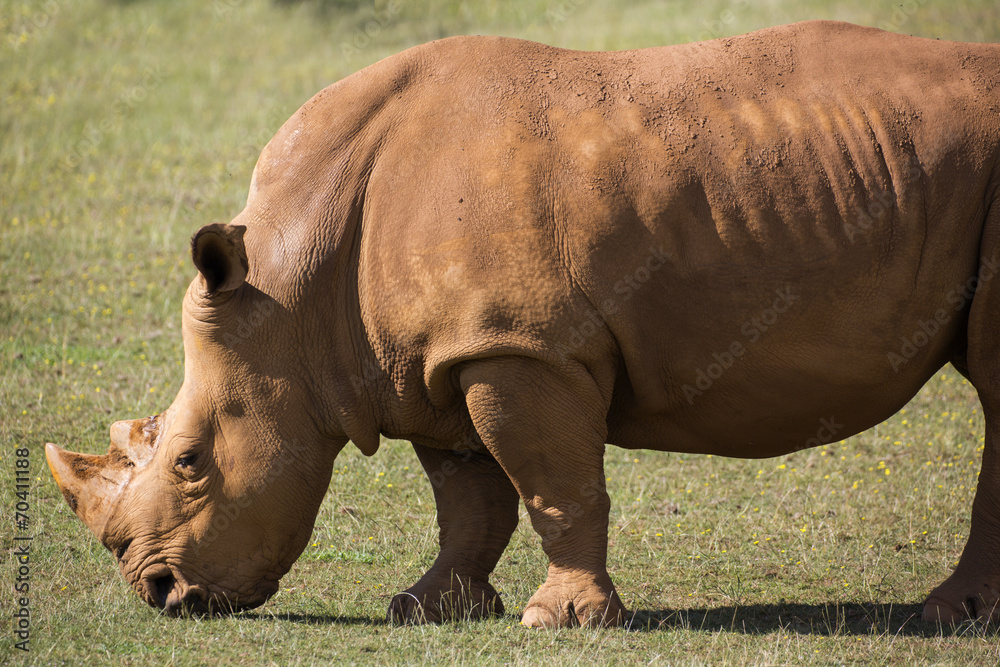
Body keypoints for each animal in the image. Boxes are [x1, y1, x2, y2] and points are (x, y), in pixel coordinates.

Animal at [46, 20, 1000, 627]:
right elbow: (468, 501)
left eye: (189, 460)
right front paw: (427, 608)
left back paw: (949, 616)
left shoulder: (520, 348)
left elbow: (554, 486)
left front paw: (561, 621)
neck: (293, 295)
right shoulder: (436, 356)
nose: (159, 593)